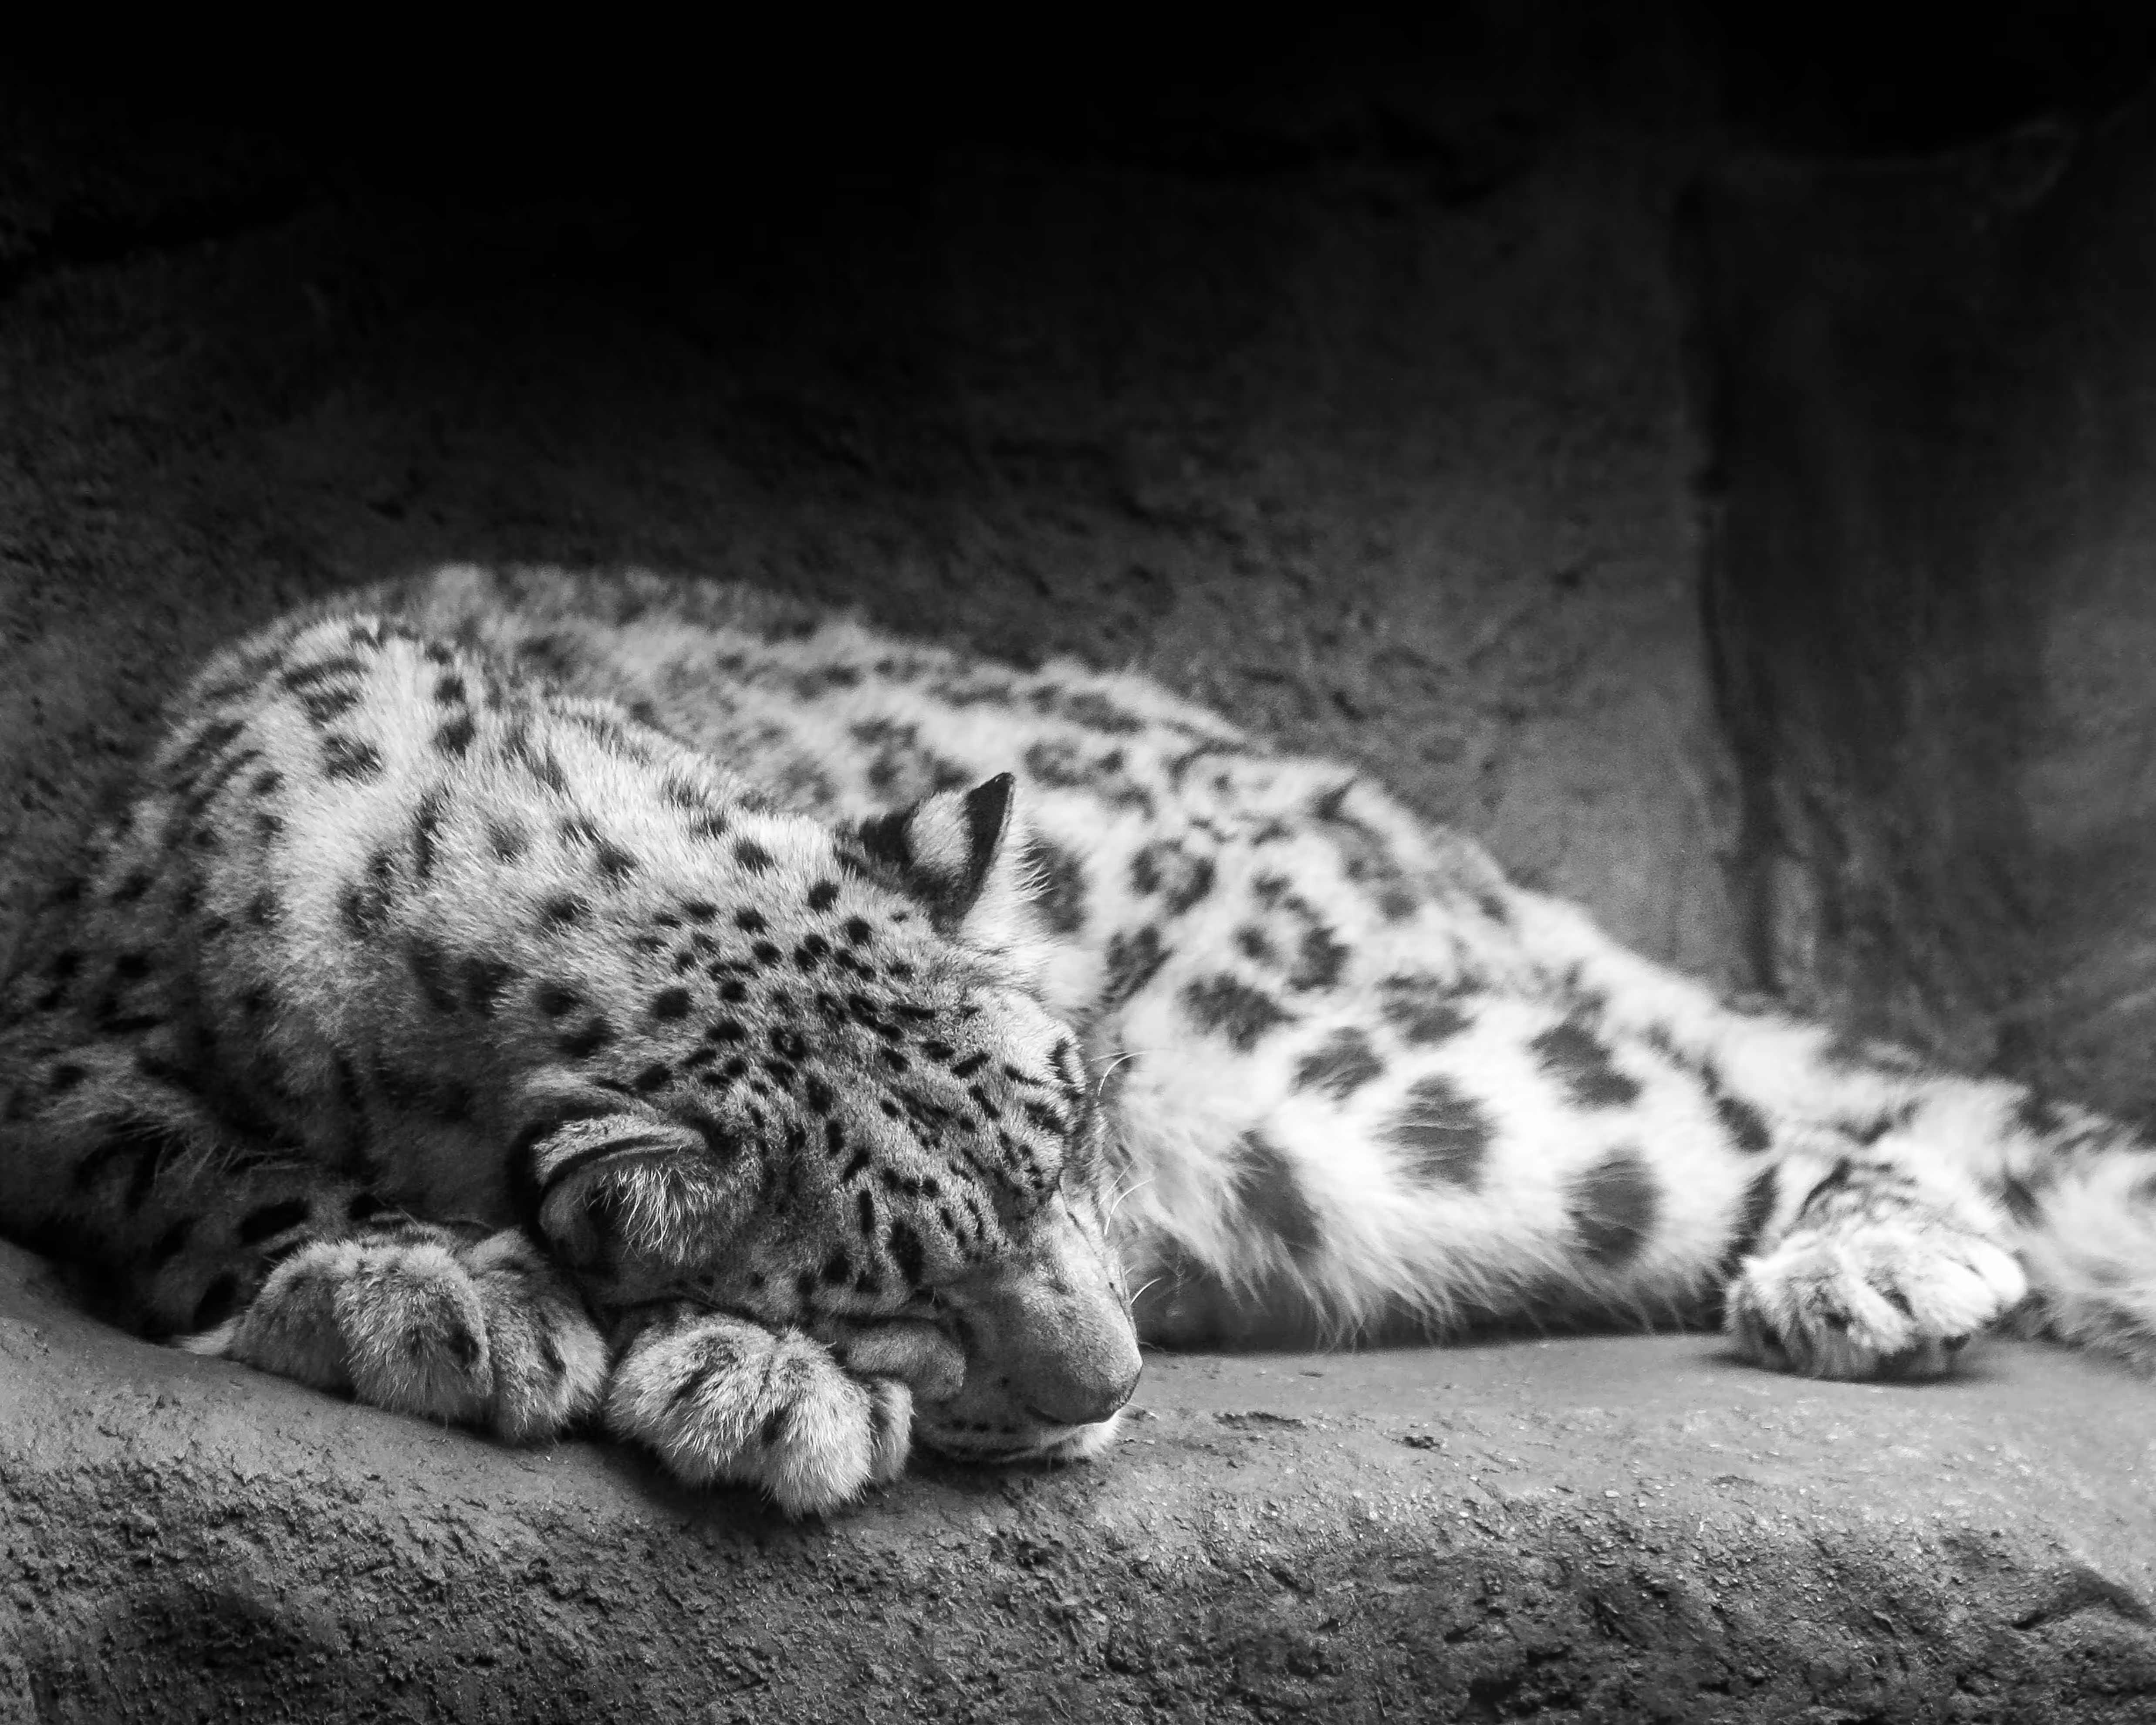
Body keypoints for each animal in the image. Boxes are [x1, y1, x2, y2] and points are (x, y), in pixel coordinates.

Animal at [4, 563, 2153, 1517]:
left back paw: (1876, 1265)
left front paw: (729, 1376)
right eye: (899, 1281)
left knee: (1723, 1105)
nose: (1114, 1372)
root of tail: (1388, 816)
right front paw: (454, 1296)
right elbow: (195, 1168)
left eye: (1077, 1141)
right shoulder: (53, 1068)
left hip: (1366, 1087)